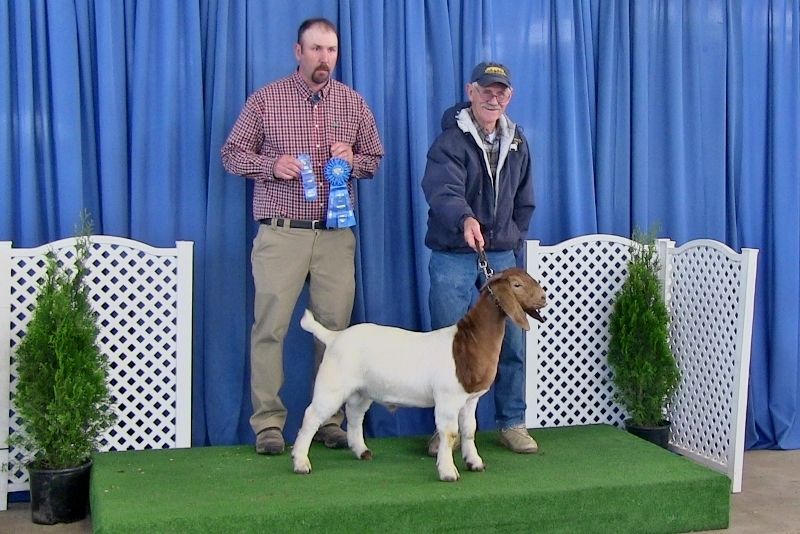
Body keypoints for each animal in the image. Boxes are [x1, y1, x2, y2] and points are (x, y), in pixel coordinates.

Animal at [294, 270, 552, 484]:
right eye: (517, 285)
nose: (544, 297)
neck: (468, 342)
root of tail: (333, 337)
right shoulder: (448, 399)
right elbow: (450, 433)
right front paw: (448, 472)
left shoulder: (471, 399)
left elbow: (469, 429)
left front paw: (475, 463)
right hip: (332, 384)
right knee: (311, 416)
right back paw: (301, 462)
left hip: (361, 390)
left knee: (355, 415)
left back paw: (361, 451)